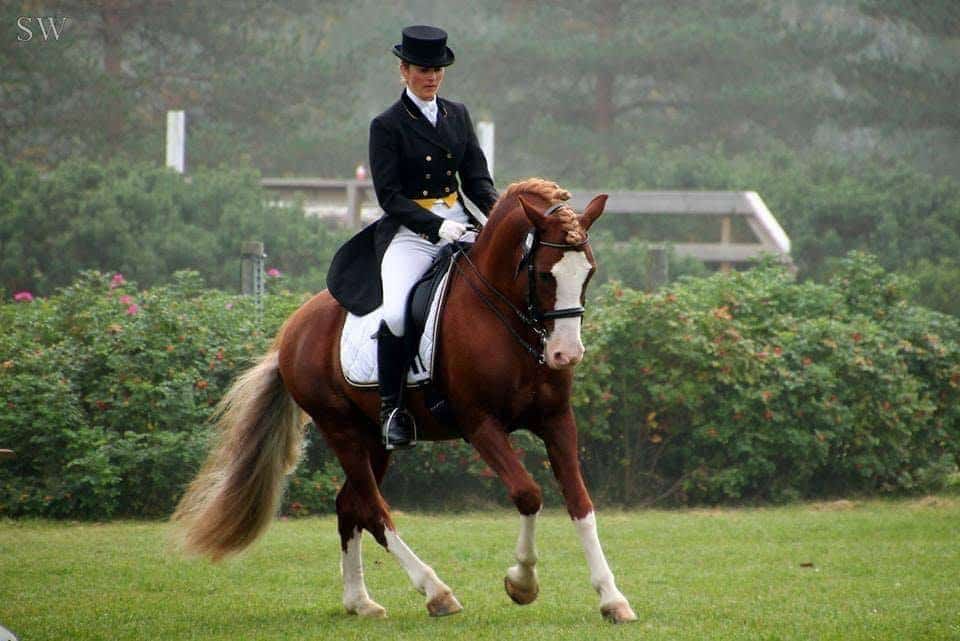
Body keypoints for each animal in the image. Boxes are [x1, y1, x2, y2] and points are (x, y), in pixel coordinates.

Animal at [172, 178, 638, 624]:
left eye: (589, 272)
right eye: (543, 275)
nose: (565, 355)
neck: (507, 318)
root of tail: (294, 329)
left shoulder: (556, 420)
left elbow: (580, 503)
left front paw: (612, 599)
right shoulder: (480, 425)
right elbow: (528, 494)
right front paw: (521, 583)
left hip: (374, 438)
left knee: (350, 505)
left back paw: (360, 602)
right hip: (340, 429)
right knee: (373, 510)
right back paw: (436, 592)